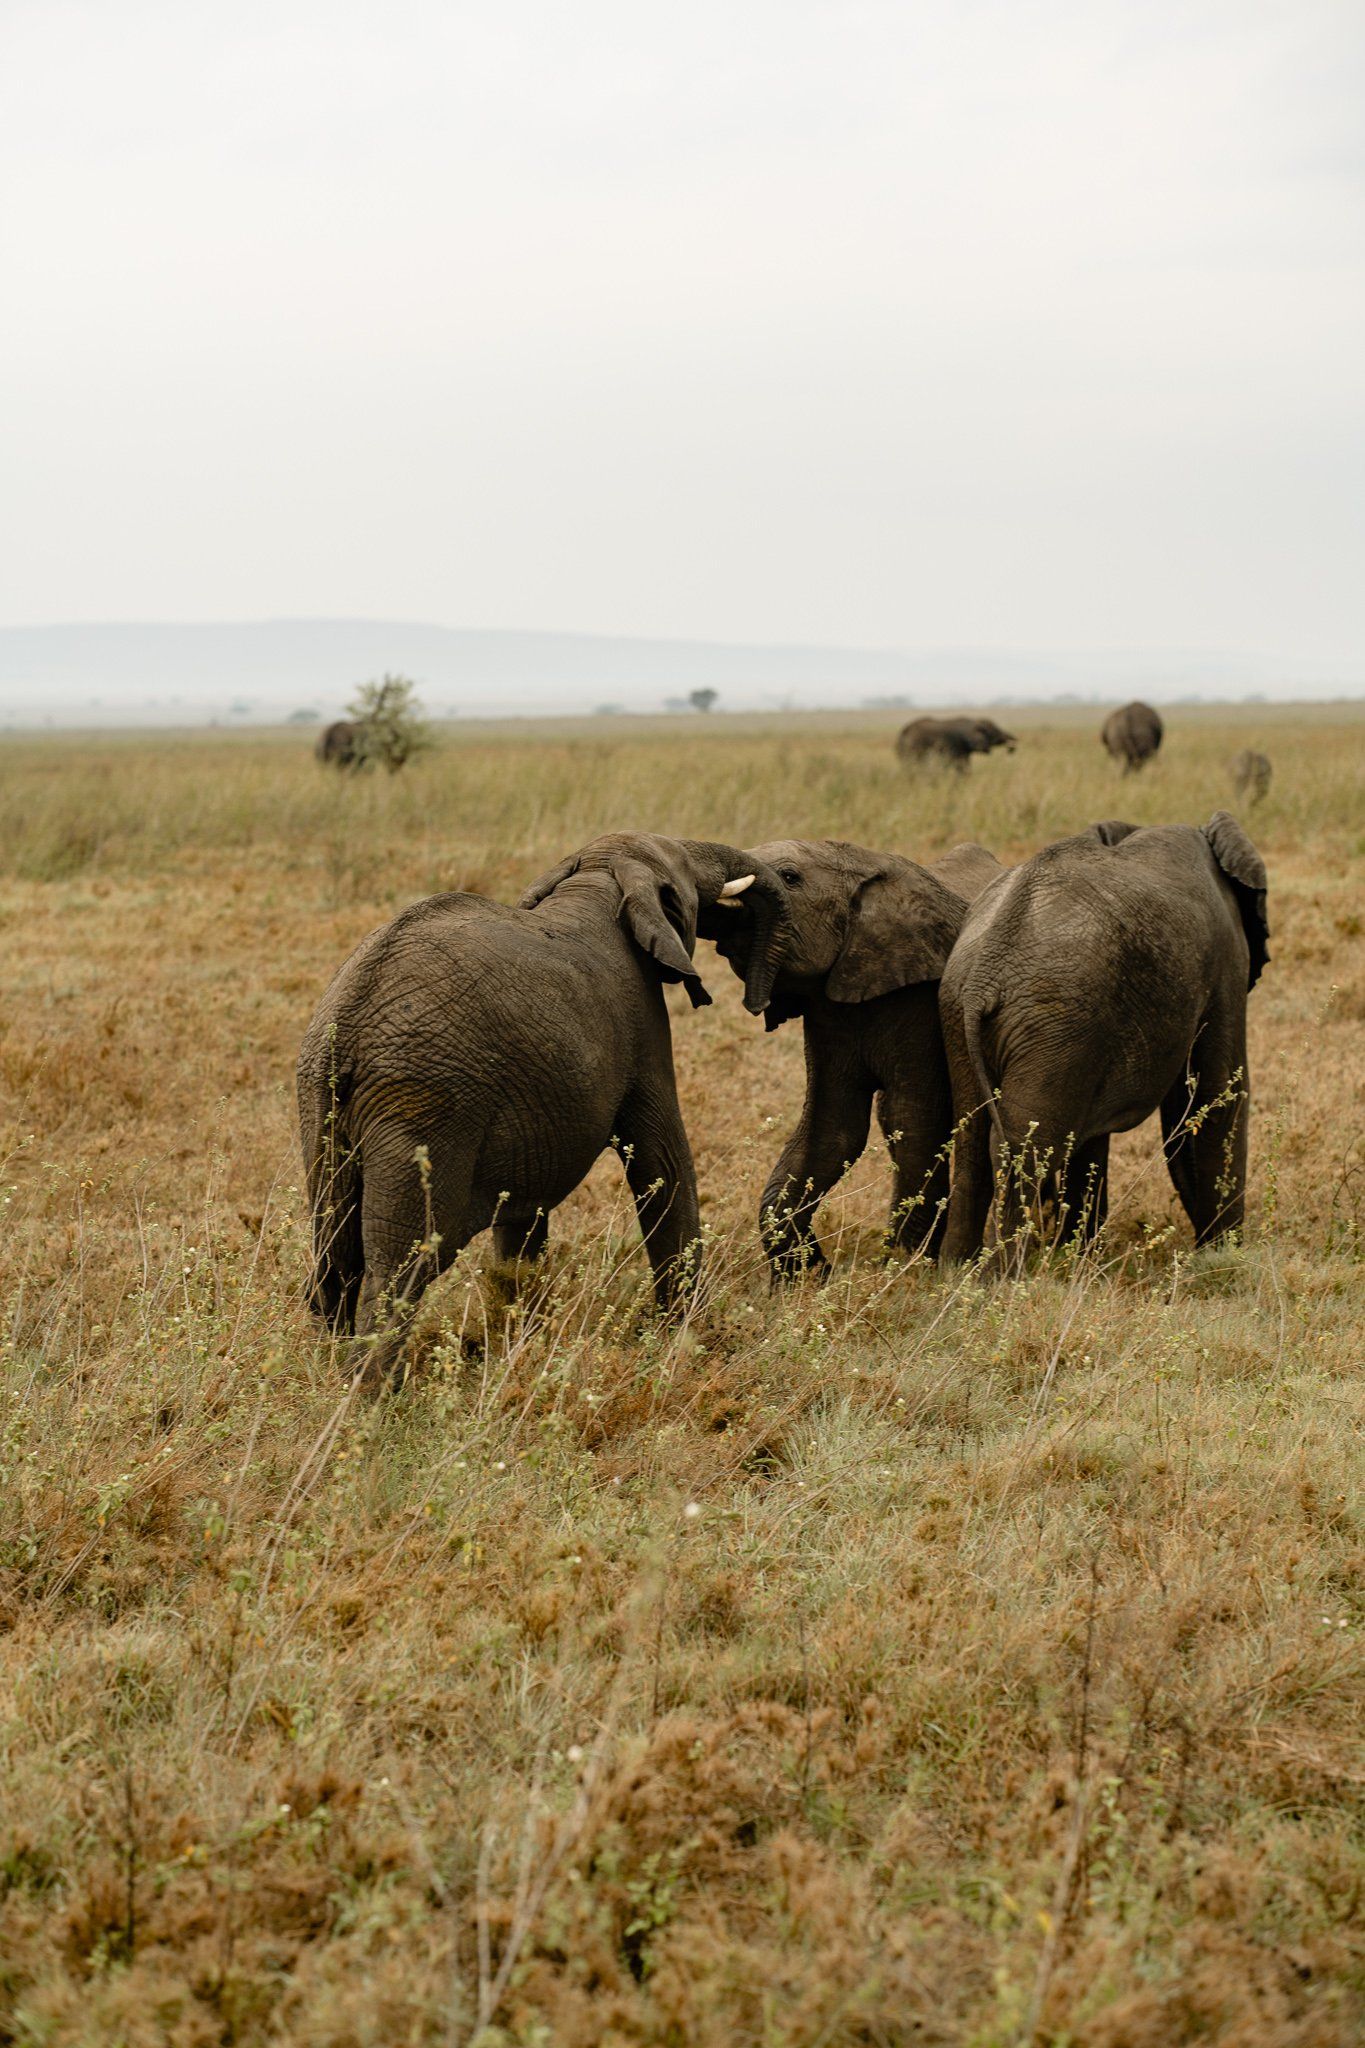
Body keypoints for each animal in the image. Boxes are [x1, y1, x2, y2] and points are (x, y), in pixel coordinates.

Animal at [298, 833, 790, 1380]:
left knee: (334, 1251)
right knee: (400, 1264)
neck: (598, 878)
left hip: (321, 1106)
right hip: (425, 1103)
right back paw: (371, 1394)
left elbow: (522, 1211)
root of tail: (350, 1021)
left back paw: (326, 1374)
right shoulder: (642, 1024)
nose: (763, 1009)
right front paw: (686, 1339)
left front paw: (521, 1340)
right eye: (684, 863)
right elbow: (664, 1163)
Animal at [698, 836, 1005, 1279]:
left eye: (790, 877)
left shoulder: (919, 995)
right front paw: (806, 1276)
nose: (822, 1263)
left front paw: (905, 1264)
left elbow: (913, 1119)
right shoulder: (828, 1011)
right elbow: (833, 1128)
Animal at [938, 812, 1269, 1264]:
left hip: (971, 1015)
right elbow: (1216, 1095)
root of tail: (982, 979)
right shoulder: (1227, 960)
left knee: (973, 1140)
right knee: (1027, 1145)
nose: (1207, 1245)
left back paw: (956, 1269)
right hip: (1052, 1017)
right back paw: (1002, 1275)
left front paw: (1078, 1257)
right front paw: (1222, 1258)